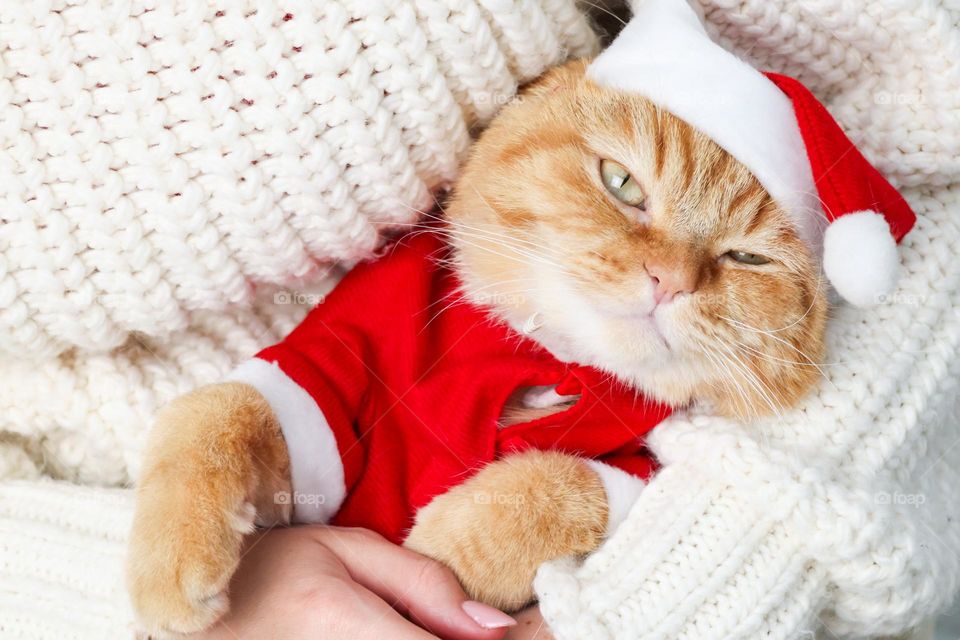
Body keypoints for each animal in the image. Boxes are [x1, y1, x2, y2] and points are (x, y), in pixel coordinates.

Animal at [125, 61, 824, 636]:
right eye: (621, 182)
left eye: (747, 258)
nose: (670, 282)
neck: (545, 359)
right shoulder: (329, 381)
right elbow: (221, 408)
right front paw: (170, 558)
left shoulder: (630, 466)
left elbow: (568, 480)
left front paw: (442, 546)